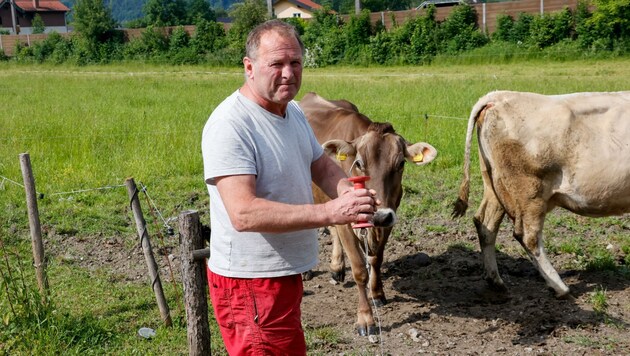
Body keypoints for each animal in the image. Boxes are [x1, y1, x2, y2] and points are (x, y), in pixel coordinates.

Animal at [302, 92, 440, 336]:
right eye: (358, 163)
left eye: (401, 163)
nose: (379, 215)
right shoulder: (347, 221)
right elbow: (359, 269)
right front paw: (365, 318)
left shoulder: (390, 216)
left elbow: (376, 259)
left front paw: (377, 293)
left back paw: (337, 267)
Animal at [452, 90, 630, 298]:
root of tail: (498, 96)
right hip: (529, 191)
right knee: (527, 236)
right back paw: (559, 287)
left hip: (494, 184)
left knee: (485, 224)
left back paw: (496, 281)